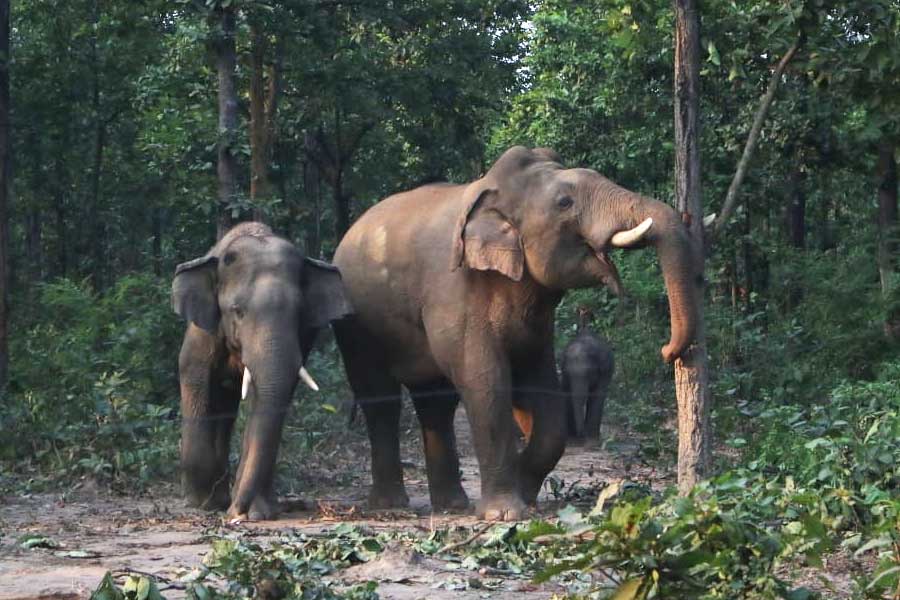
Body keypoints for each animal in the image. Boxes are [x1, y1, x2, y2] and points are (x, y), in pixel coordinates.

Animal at [172, 222, 351, 521]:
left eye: (299, 313)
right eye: (237, 311)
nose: (236, 514)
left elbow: (267, 398)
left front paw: (257, 512)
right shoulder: (204, 330)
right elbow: (196, 376)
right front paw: (203, 502)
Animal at [560, 307, 614, 445]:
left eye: (590, 373)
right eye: (566, 371)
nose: (581, 435)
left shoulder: (606, 370)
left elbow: (598, 395)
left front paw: (592, 438)